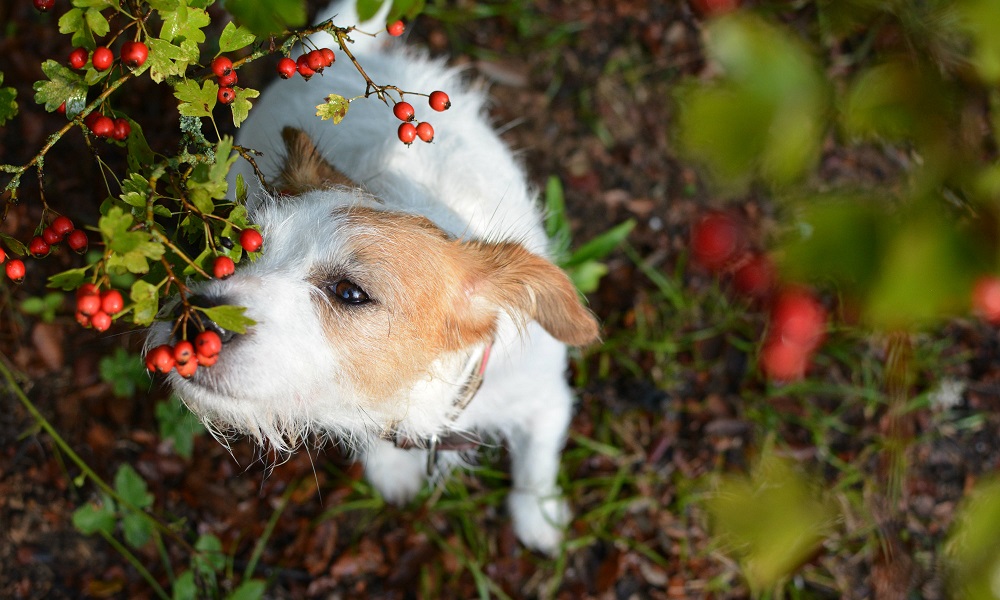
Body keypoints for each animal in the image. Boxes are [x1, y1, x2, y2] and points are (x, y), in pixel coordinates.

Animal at [146, 0, 596, 552]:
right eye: (241, 248)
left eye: (350, 292)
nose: (195, 322)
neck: (425, 401)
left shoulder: (545, 398)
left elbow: (537, 463)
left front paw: (540, 517)